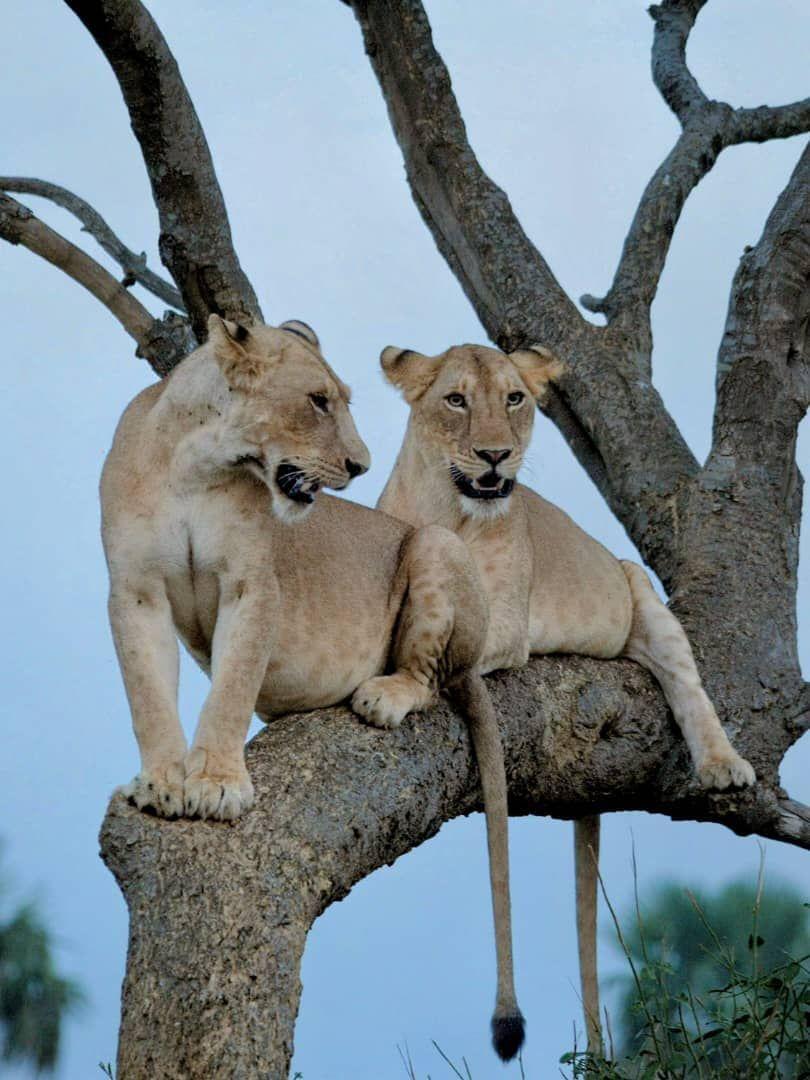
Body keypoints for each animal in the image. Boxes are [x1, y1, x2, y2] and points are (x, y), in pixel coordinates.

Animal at [100, 317, 525, 1060]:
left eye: (343, 399)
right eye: (318, 401)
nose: (359, 467)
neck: (195, 464)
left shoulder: (253, 585)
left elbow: (231, 689)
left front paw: (215, 784)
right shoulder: (135, 590)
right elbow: (147, 695)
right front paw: (161, 783)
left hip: (435, 546)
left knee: (434, 677)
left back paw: (384, 694)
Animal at [376, 340, 756, 1053]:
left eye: (515, 399)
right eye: (456, 399)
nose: (495, 455)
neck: (451, 510)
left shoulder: (502, 623)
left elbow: (430, 642)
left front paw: (393, 686)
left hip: (638, 591)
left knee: (689, 686)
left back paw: (724, 764)